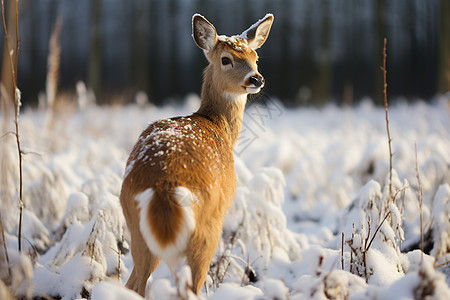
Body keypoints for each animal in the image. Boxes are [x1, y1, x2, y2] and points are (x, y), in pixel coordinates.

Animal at [119, 12, 274, 296]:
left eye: (255, 56)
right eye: (226, 59)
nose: (256, 79)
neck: (216, 125)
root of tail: (163, 188)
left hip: (135, 226)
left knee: (134, 282)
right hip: (205, 230)